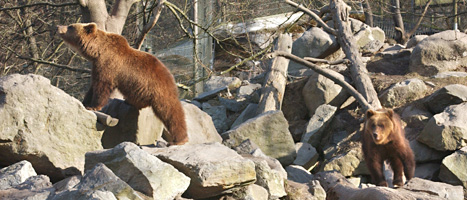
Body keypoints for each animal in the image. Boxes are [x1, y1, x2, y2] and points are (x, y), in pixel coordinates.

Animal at [58, 22, 188, 145]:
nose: (58, 26)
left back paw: (179, 139)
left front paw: (94, 105)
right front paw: (85, 102)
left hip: (158, 88)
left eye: (70, 26)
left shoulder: (109, 64)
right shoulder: (96, 65)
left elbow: (102, 86)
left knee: (170, 111)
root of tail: (170, 75)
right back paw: (129, 101)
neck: (98, 51)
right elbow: (93, 85)